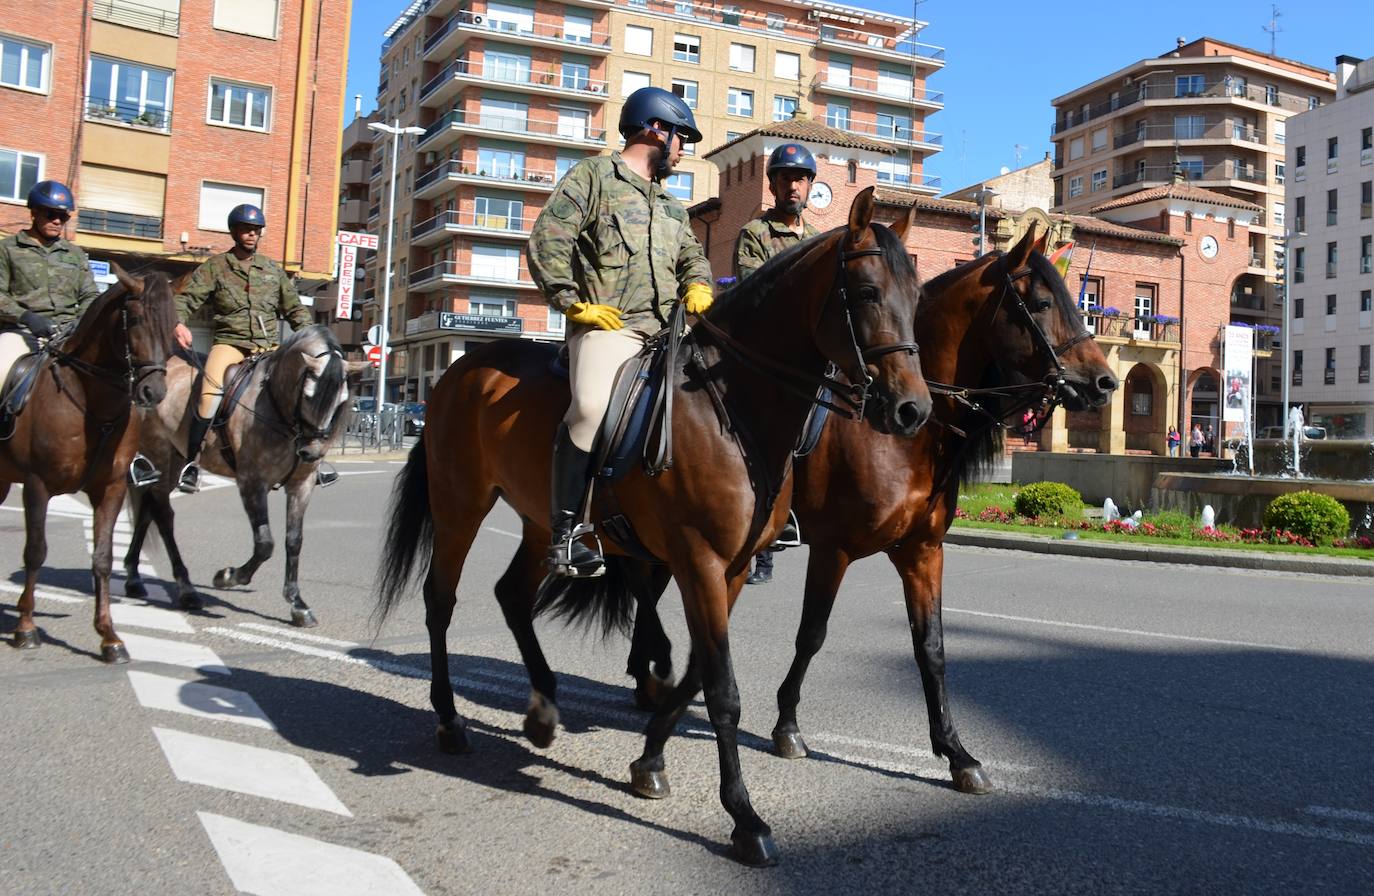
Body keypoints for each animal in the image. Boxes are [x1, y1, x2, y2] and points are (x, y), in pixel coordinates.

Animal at [0, 266, 179, 656]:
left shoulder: (110, 489)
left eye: (174, 324)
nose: (154, 392)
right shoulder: (36, 486)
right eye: (136, 320)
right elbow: (35, 551)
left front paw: (109, 636)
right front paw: (25, 628)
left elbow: (102, 558)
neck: (90, 403)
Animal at [122, 325, 365, 626]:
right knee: (163, 517)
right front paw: (228, 577)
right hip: (159, 455)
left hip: (173, 460)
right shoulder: (252, 483)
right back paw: (186, 589)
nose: (311, 453)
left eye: (341, 400)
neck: (278, 408)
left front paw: (297, 604)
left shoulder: (301, 485)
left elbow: (294, 540)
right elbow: (265, 544)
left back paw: (134, 577)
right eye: (308, 394)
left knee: (147, 510)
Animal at [379, 191, 934, 868]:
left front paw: (649, 761)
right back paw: (450, 719)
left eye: (917, 296)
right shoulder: (698, 561)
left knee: (511, 595)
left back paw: (542, 712)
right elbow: (721, 688)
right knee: (440, 599)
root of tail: (462, 368)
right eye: (867, 292)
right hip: (461, 504)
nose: (912, 410)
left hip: (539, 522)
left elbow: (697, 671)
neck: (729, 404)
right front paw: (744, 818)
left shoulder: (732, 568)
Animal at [629, 222, 1121, 791]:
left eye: (1079, 301)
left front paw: (956, 752)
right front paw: (787, 725)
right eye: (1042, 302)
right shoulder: (832, 549)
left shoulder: (922, 552)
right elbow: (811, 635)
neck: (908, 434)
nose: (1105, 382)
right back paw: (652, 671)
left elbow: (931, 648)